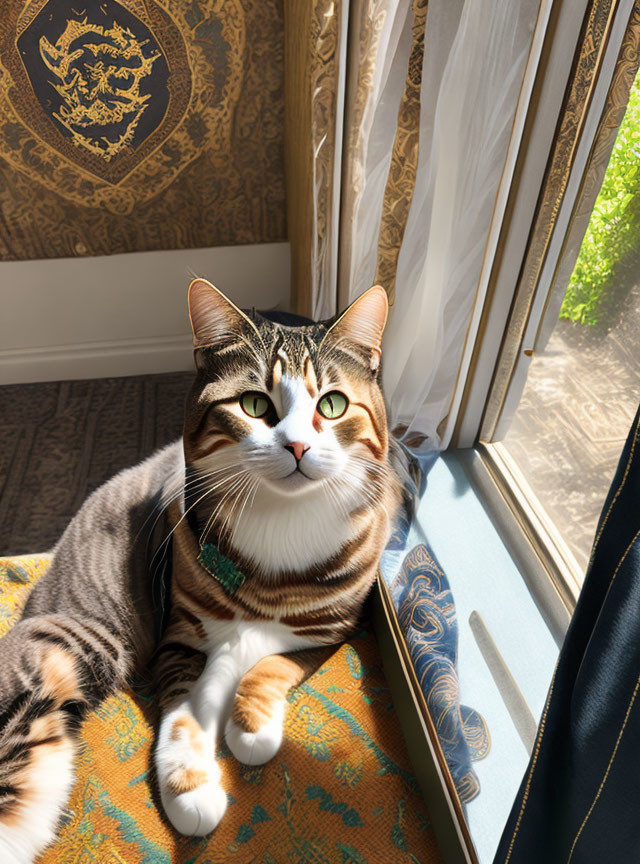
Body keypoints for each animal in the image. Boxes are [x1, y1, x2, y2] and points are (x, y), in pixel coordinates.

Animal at [0, 280, 400, 860]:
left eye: (333, 404)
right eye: (255, 404)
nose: (298, 445)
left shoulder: (330, 628)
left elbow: (272, 663)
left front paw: (250, 727)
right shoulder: (179, 634)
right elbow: (187, 709)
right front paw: (190, 787)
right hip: (82, 639)